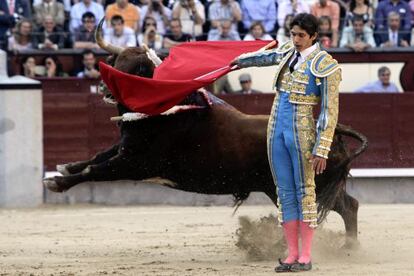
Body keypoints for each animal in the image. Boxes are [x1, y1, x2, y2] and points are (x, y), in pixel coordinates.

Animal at [43, 19, 368, 248]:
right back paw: (348, 248)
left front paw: (57, 182)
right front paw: (65, 166)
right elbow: (97, 156)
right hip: (313, 186)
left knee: (334, 209)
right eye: (115, 62)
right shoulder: (127, 147)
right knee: (348, 205)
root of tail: (332, 130)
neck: (162, 112)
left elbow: (96, 170)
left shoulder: (135, 163)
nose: (104, 88)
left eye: (135, 69)